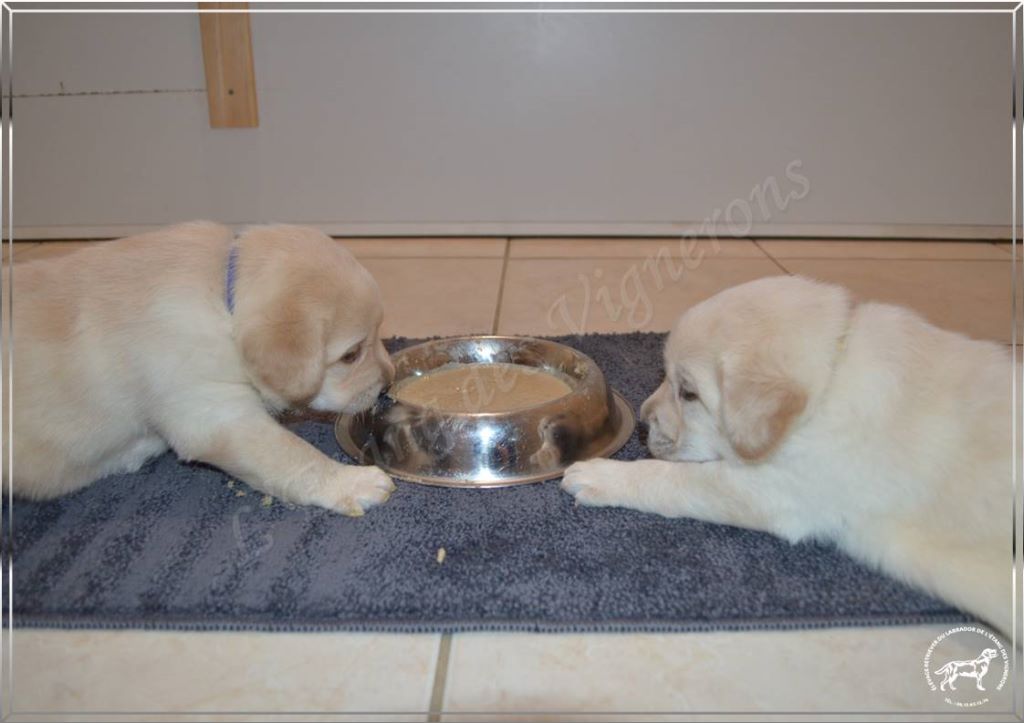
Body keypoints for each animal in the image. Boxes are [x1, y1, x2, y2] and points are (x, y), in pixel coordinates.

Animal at [3, 219, 395, 512]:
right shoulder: (212, 412)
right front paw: (351, 482)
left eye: (380, 332)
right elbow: (293, 455)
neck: (223, 301)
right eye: (350, 355)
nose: (388, 384)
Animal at [565, 272, 1011, 634]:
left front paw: (600, 475)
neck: (833, 372)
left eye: (688, 393)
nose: (642, 420)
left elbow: (679, 481)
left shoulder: (775, 491)